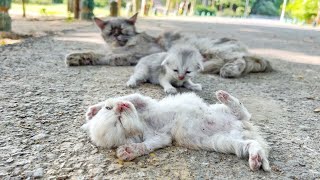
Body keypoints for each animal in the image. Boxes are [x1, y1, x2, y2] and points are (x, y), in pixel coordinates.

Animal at [65, 13, 272, 78]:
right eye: (111, 32)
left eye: (123, 31)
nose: (118, 37)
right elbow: (100, 54)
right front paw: (78, 58)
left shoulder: (139, 53)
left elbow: (108, 57)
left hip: (215, 49)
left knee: (241, 60)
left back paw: (229, 70)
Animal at [82, 90, 270, 171]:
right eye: (119, 122)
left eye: (109, 108)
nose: (121, 107)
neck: (142, 122)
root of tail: (243, 126)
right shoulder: (160, 137)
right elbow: (146, 146)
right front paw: (128, 150)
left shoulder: (144, 101)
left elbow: (131, 96)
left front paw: (92, 111)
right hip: (227, 141)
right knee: (250, 143)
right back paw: (256, 158)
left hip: (220, 111)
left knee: (241, 111)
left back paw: (224, 96)